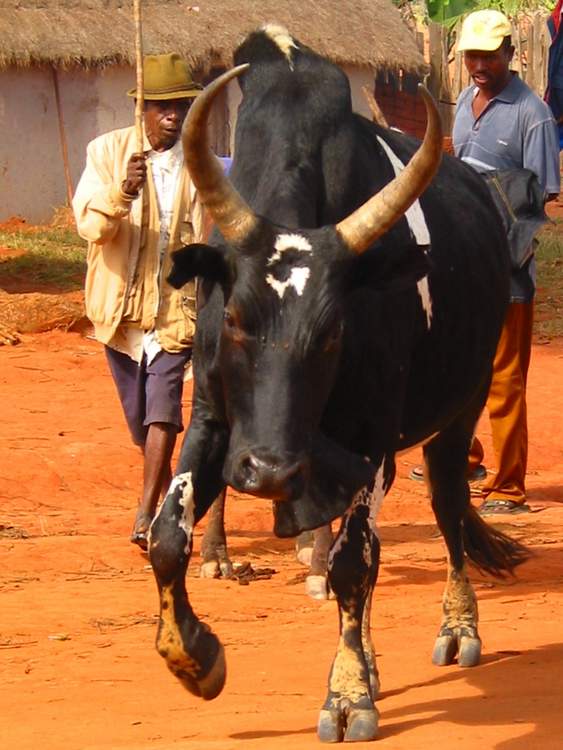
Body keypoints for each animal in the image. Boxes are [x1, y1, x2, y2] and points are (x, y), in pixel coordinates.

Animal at [149, 25, 528, 748]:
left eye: (333, 331)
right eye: (234, 318)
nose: (270, 471)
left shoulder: (369, 442)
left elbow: (354, 564)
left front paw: (348, 695)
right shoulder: (214, 422)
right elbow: (166, 536)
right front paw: (195, 658)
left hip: (457, 413)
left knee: (446, 510)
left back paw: (456, 626)